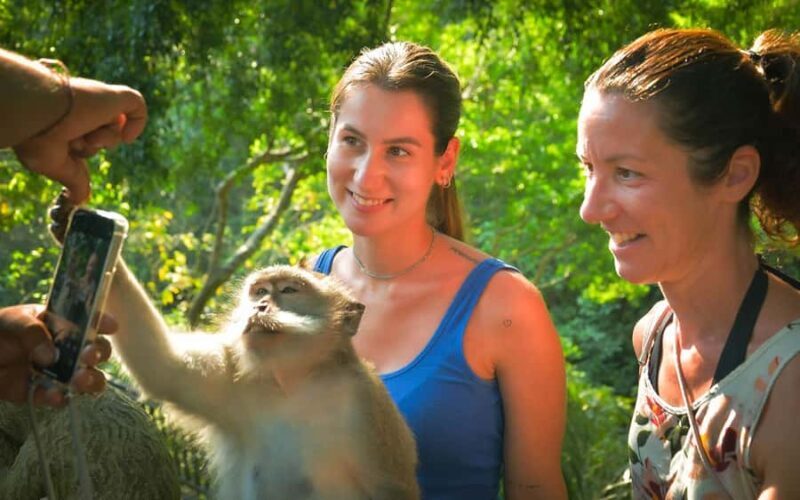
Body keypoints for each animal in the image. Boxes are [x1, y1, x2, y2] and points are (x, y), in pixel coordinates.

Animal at [105, 261, 419, 500]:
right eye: (260, 293)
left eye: (289, 290)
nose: (260, 307)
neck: (294, 381)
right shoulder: (234, 377)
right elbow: (165, 369)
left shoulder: (365, 402)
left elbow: (390, 490)